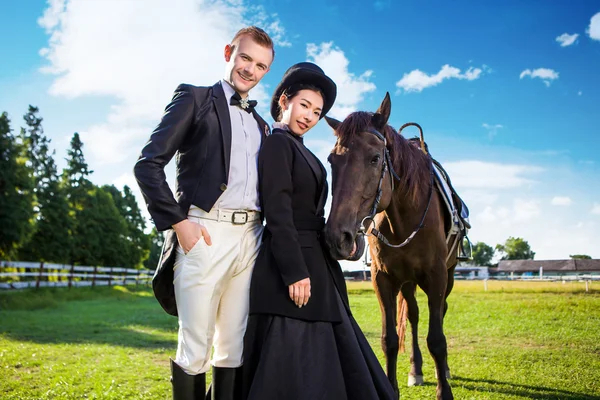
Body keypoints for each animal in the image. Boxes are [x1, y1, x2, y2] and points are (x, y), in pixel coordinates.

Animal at [324, 93, 460, 400]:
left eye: (375, 158)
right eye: (331, 161)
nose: (338, 237)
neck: (405, 218)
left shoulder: (436, 276)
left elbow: (437, 339)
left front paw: (443, 391)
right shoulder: (383, 279)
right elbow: (389, 340)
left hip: (449, 275)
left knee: (441, 311)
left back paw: (443, 370)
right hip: (407, 282)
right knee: (413, 315)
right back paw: (415, 369)